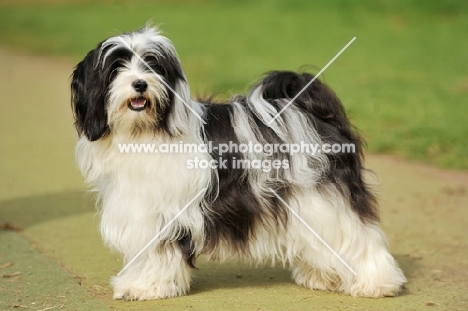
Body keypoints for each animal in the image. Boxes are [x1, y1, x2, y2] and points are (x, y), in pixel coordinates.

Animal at [71, 26, 404, 302]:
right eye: (116, 67)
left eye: (153, 65)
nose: (140, 84)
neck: (145, 132)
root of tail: (309, 110)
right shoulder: (139, 207)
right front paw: (137, 283)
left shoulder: (163, 211)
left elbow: (157, 251)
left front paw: (147, 287)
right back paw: (323, 277)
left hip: (324, 198)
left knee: (358, 236)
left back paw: (376, 283)